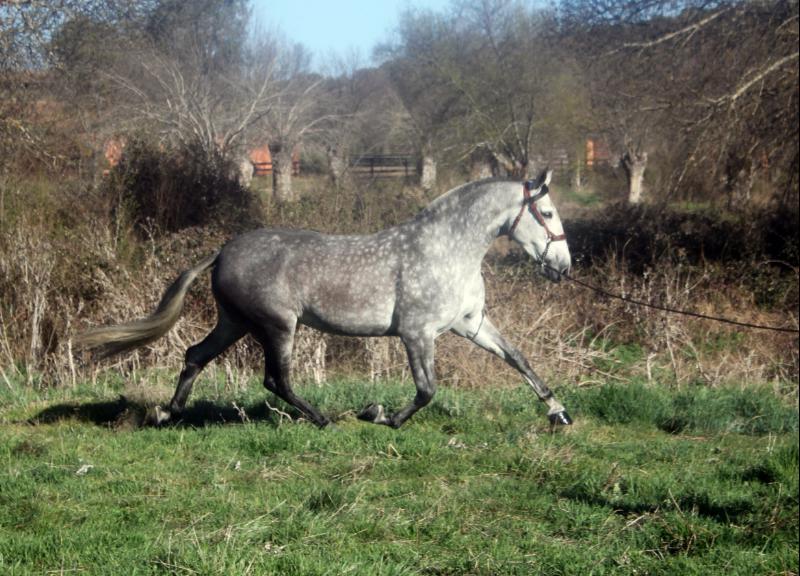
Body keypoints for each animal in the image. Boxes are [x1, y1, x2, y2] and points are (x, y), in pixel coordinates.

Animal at [75, 170, 573, 429]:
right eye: (547, 213)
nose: (564, 267)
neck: (447, 249)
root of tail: (223, 251)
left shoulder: (471, 324)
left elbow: (518, 359)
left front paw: (558, 410)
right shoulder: (417, 334)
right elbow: (427, 389)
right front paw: (381, 416)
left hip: (235, 323)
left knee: (195, 354)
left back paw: (170, 413)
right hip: (278, 326)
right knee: (276, 380)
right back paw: (323, 420)